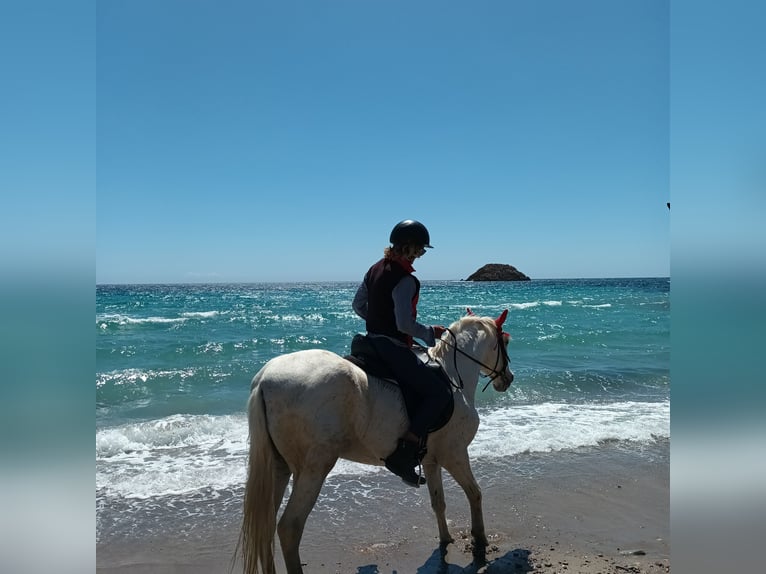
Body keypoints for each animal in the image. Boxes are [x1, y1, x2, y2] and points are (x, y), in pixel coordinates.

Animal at [240, 310, 516, 574]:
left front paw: (446, 539)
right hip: (313, 469)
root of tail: (265, 379)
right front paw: (479, 540)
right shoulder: (455, 455)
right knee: (290, 527)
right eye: (505, 341)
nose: (508, 378)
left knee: (266, 524)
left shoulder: (431, 461)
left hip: (279, 468)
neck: (452, 374)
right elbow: (475, 494)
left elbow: (438, 502)